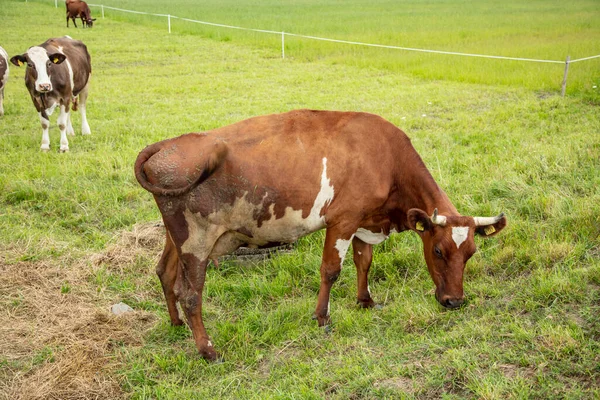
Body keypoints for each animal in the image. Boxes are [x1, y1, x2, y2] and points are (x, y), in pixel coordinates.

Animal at [135, 109, 506, 360]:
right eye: (439, 251)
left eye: (471, 253)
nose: (454, 301)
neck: (386, 159)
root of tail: (169, 143)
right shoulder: (342, 220)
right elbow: (331, 270)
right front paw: (322, 317)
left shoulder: (364, 220)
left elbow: (364, 261)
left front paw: (365, 301)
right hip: (196, 240)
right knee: (190, 294)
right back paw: (207, 349)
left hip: (175, 236)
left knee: (164, 272)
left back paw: (175, 324)